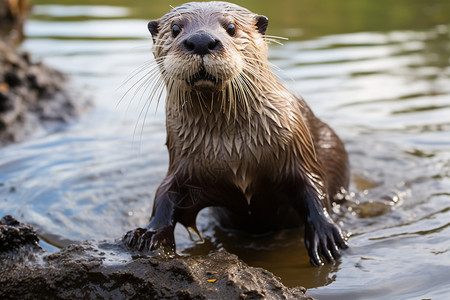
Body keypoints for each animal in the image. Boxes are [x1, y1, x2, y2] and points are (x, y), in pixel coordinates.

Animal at [123, 1, 348, 266]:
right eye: (176, 28)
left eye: (231, 27)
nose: (201, 40)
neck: (235, 148)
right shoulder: (184, 164)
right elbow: (165, 194)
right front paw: (149, 232)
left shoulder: (296, 147)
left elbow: (313, 186)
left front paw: (325, 233)